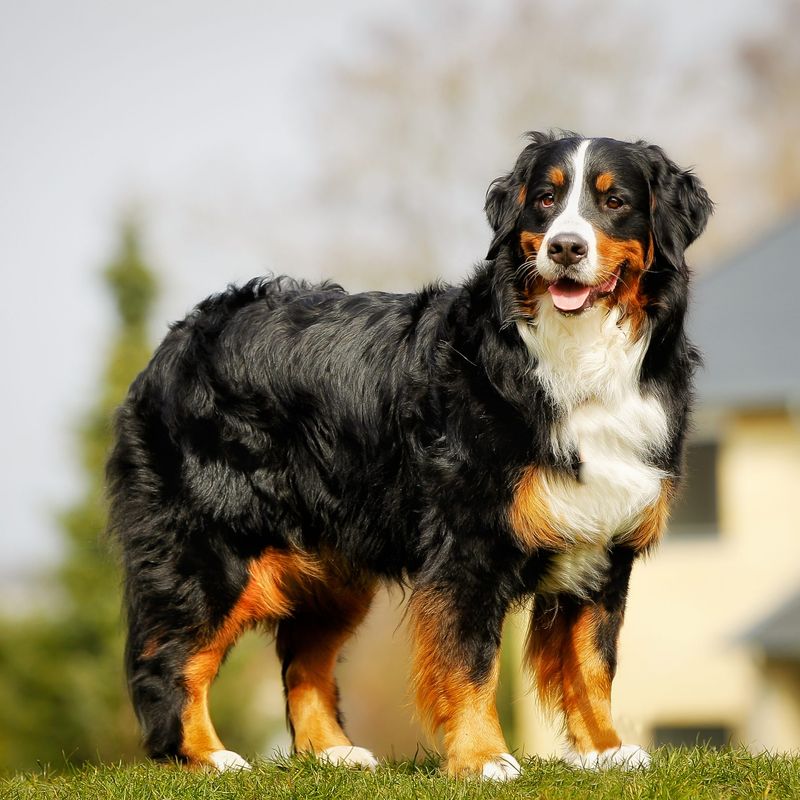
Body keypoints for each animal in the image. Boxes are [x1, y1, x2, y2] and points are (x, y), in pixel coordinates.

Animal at [106, 131, 712, 780]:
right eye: (546, 200)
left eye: (615, 201)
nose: (566, 247)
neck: (575, 358)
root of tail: (179, 338)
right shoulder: (469, 545)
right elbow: (471, 660)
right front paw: (483, 758)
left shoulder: (603, 542)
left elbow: (594, 662)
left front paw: (605, 750)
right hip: (213, 548)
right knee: (171, 658)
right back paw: (205, 756)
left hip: (334, 565)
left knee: (303, 659)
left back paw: (333, 752)